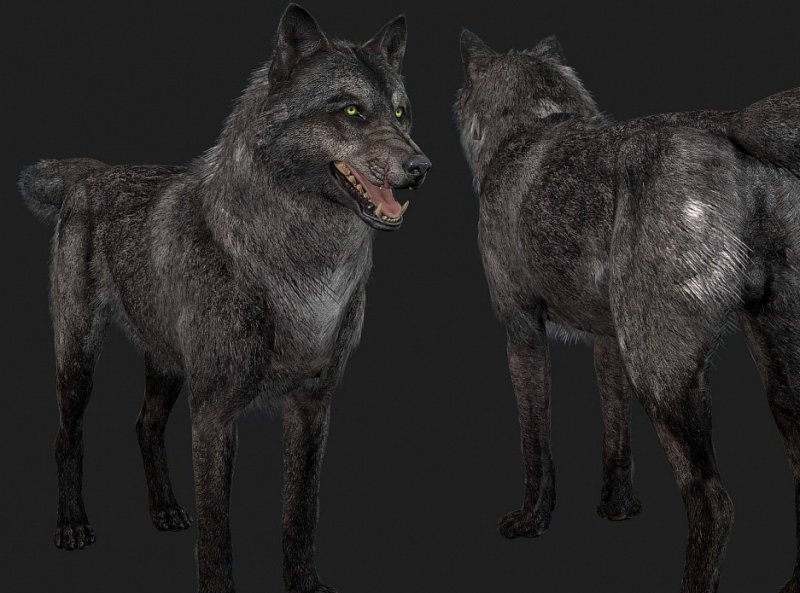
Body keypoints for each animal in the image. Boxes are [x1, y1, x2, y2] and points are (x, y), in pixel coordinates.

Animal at [18, 5, 430, 592]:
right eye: (351, 110)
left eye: (400, 112)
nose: (422, 168)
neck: (301, 272)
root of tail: (90, 173)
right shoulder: (213, 413)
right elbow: (217, 534)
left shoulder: (312, 407)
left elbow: (300, 512)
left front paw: (305, 584)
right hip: (78, 357)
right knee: (66, 436)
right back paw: (72, 525)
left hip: (166, 362)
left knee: (144, 426)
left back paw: (166, 511)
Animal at [456, 29, 800, 593]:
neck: (531, 125)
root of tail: (730, 124)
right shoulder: (608, 343)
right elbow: (616, 438)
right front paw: (615, 509)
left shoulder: (522, 329)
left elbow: (536, 443)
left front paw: (531, 520)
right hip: (778, 374)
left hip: (660, 374)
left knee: (714, 502)